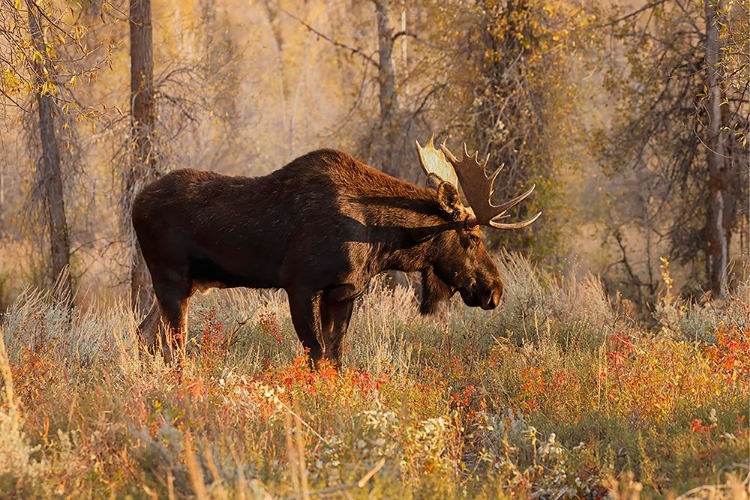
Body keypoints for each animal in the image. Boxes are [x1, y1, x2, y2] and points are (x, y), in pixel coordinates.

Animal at [131, 138, 540, 368]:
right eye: (472, 236)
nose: (494, 290)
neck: (379, 239)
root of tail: (135, 204)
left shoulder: (344, 291)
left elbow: (335, 355)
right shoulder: (301, 285)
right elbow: (316, 355)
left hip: (187, 285)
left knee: (145, 334)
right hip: (170, 278)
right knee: (172, 345)